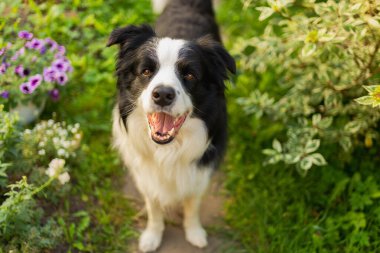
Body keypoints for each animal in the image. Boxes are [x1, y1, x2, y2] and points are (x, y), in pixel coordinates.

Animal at [107, 0, 236, 251]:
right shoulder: (145, 175)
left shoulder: (200, 171)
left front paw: (194, 232)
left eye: (190, 75)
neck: (167, 149)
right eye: (146, 70)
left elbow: (192, 205)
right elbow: (154, 207)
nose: (163, 95)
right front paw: (152, 236)